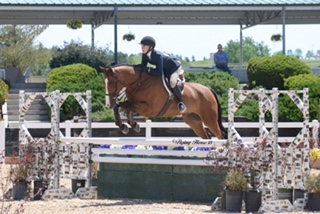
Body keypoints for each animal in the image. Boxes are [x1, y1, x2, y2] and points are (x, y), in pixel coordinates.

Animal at [100, 64, 228, 140]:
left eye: (111, 83)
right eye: (104, 82)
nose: (108, 105)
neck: (140, 83)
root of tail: (209, 90)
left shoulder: (150, 109)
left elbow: (130, 106)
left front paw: (132, 125)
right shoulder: (136, 105)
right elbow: (123, 107)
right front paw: (126, 126)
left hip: (209, 120)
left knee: (220, 136)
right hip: (193, 121)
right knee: (207, 137)